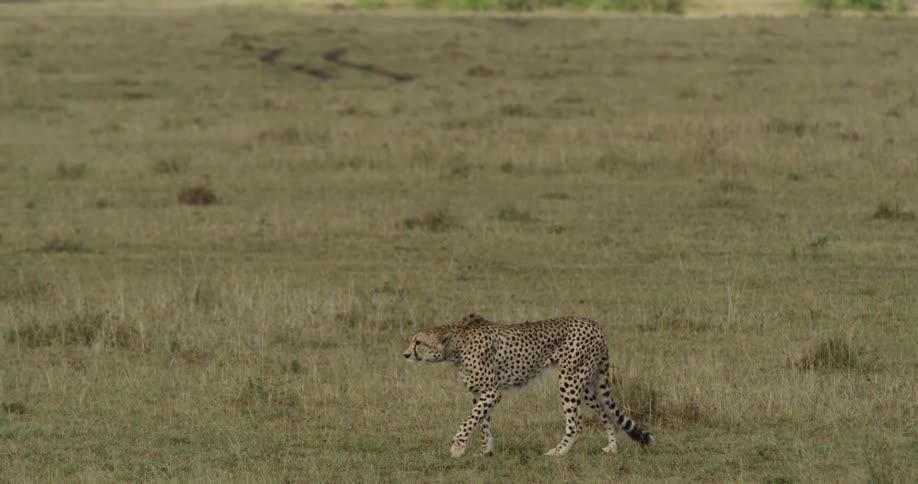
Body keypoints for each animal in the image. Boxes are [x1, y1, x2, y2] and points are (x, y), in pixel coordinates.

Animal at [403, 312, 655, 457]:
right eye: (411, 341)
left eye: (419, 342)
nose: (405, 355)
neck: (457, 347)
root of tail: (593, 323)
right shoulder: (480, 393)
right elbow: (482, 421)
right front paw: (486, 451)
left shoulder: (492, 392)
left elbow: (469, 420)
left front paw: (457, 447)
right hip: (588, 384)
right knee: (605, 412)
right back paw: (612, 448)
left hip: (570, 379)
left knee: (576, 423)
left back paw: (558, 452)